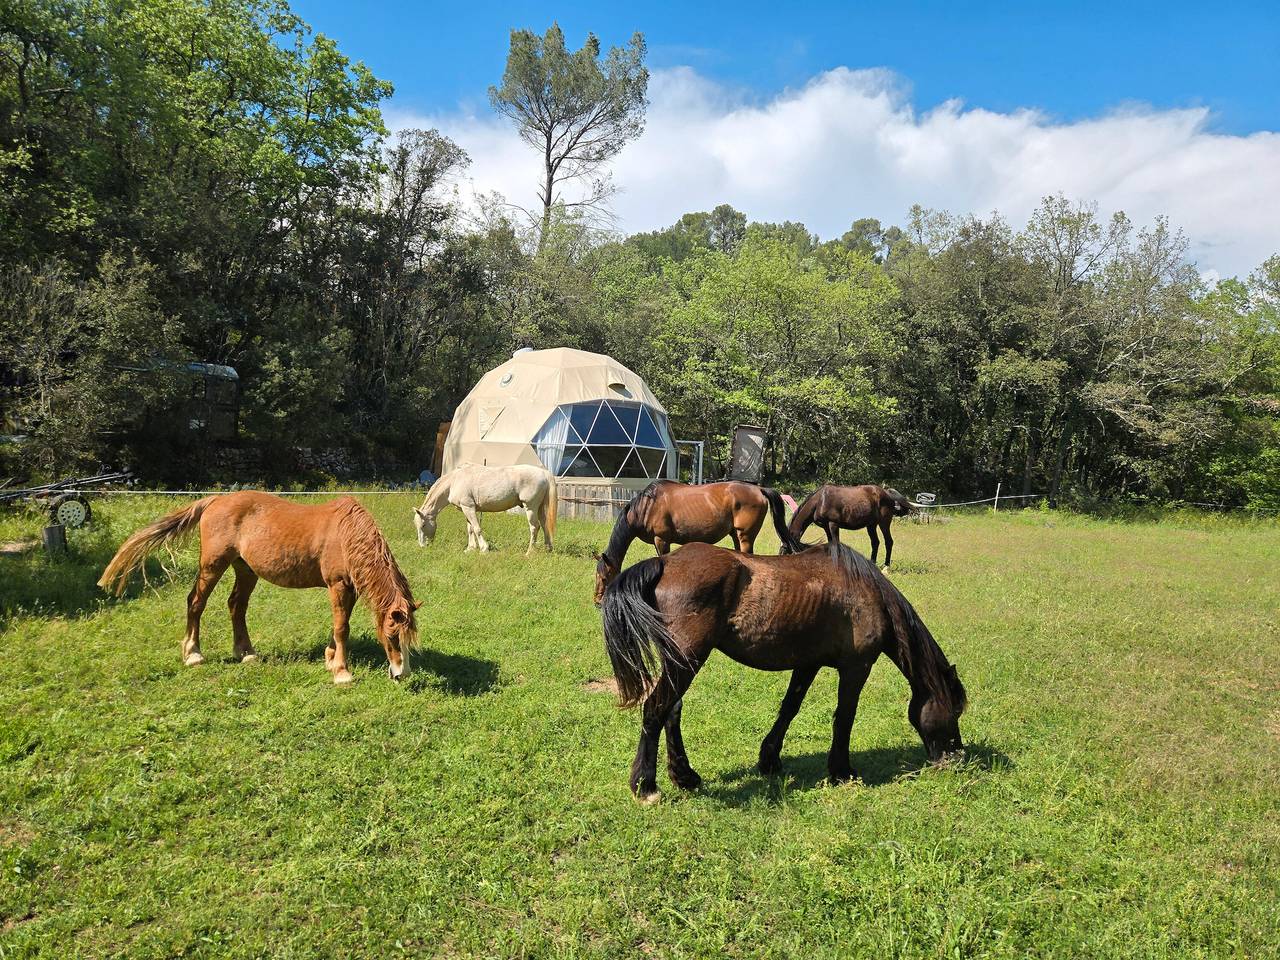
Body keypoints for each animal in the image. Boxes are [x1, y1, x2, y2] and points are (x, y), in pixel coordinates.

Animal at [98, 491, 420, 685]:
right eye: (392, 636)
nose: (401, 674)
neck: (345, 534)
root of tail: (215, 500)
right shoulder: (338, 585)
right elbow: (342, 628)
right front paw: (341, 672)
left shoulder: (348, 588)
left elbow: (338, 625)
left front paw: (330, 660)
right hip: (213, 564)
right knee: (196, 602)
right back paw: (193, 654)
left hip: (245, 569)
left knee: (236, 606)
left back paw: (246, 653)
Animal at [413, 463, 557, 554]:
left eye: (423, 525)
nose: (422, 546)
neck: (454, 481)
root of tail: (544, 473)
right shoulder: (467, 509)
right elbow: (470, 529)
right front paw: (470, 549)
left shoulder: (469, 507)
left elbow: (477, 529)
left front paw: (483, 548)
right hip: (539, 508)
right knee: (544, 525)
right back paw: (548, 549)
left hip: (531, 507)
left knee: (534, 527)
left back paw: (529, 552)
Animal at [592, 480, 803, 604]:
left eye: (604, 578)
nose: (597, 601)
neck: (647, 506)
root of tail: (758, 489)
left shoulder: (662, 540)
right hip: (736, 535)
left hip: (745, 535)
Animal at [601, 541, 966, 802]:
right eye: (955, 711)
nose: (956, 758)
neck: (868, 593)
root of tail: (666, 562)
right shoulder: (856, 667)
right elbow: (845, 716)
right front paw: (842, 771)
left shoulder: (808, 664)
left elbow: (790, 708)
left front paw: (769, 760)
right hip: (687, 658)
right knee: (655, 709)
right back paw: (646, 786)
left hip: (681, 661)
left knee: (671, 711)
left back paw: (685, 776)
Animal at [788, 484, 918, 566]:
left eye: (786, 546)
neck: (820, 501)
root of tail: (886, 493)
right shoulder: (826, 527)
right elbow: (831, 543)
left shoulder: (833, 525)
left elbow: (836, 543)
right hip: (871, 525)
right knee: (875, 542)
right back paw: (873, 562)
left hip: (884, 523)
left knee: (889, 541)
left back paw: (886, 565)